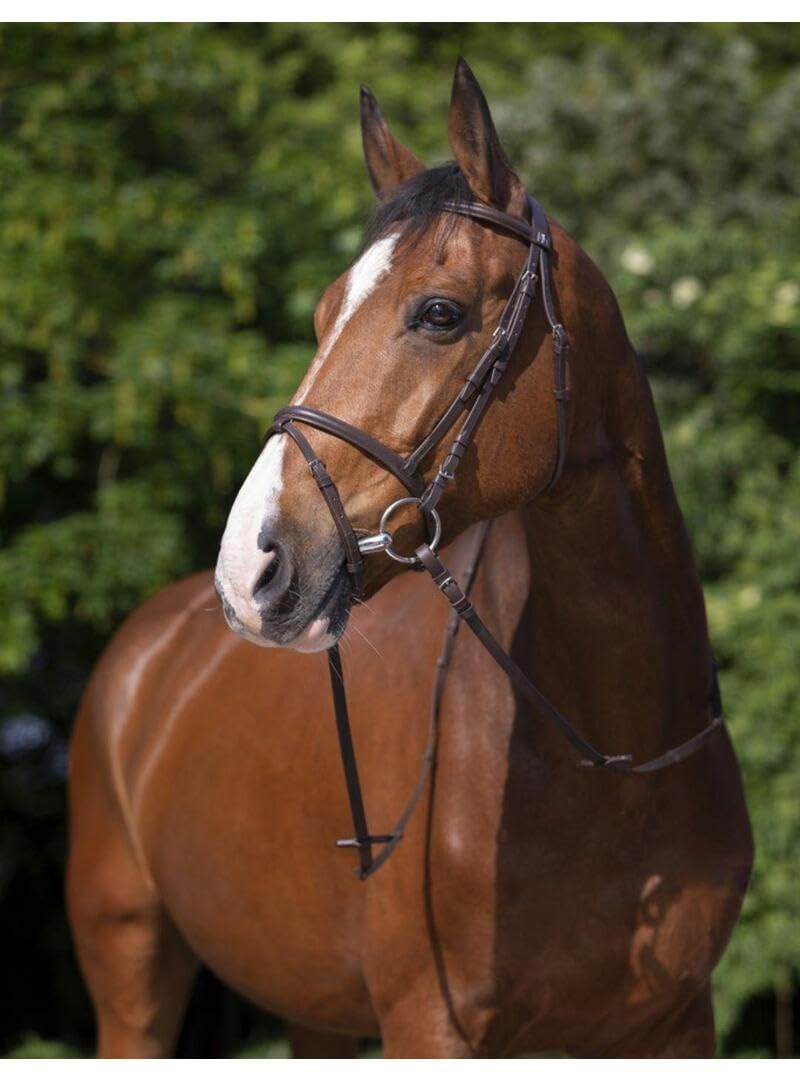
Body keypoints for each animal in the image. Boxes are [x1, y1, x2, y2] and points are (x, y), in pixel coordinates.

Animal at [67, 59, 753, 1057]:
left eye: (439, 313)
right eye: (323, 316)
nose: (250, 569)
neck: (613, 761)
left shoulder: (676, 1025)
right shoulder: (431, 1024)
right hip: (132, 976)